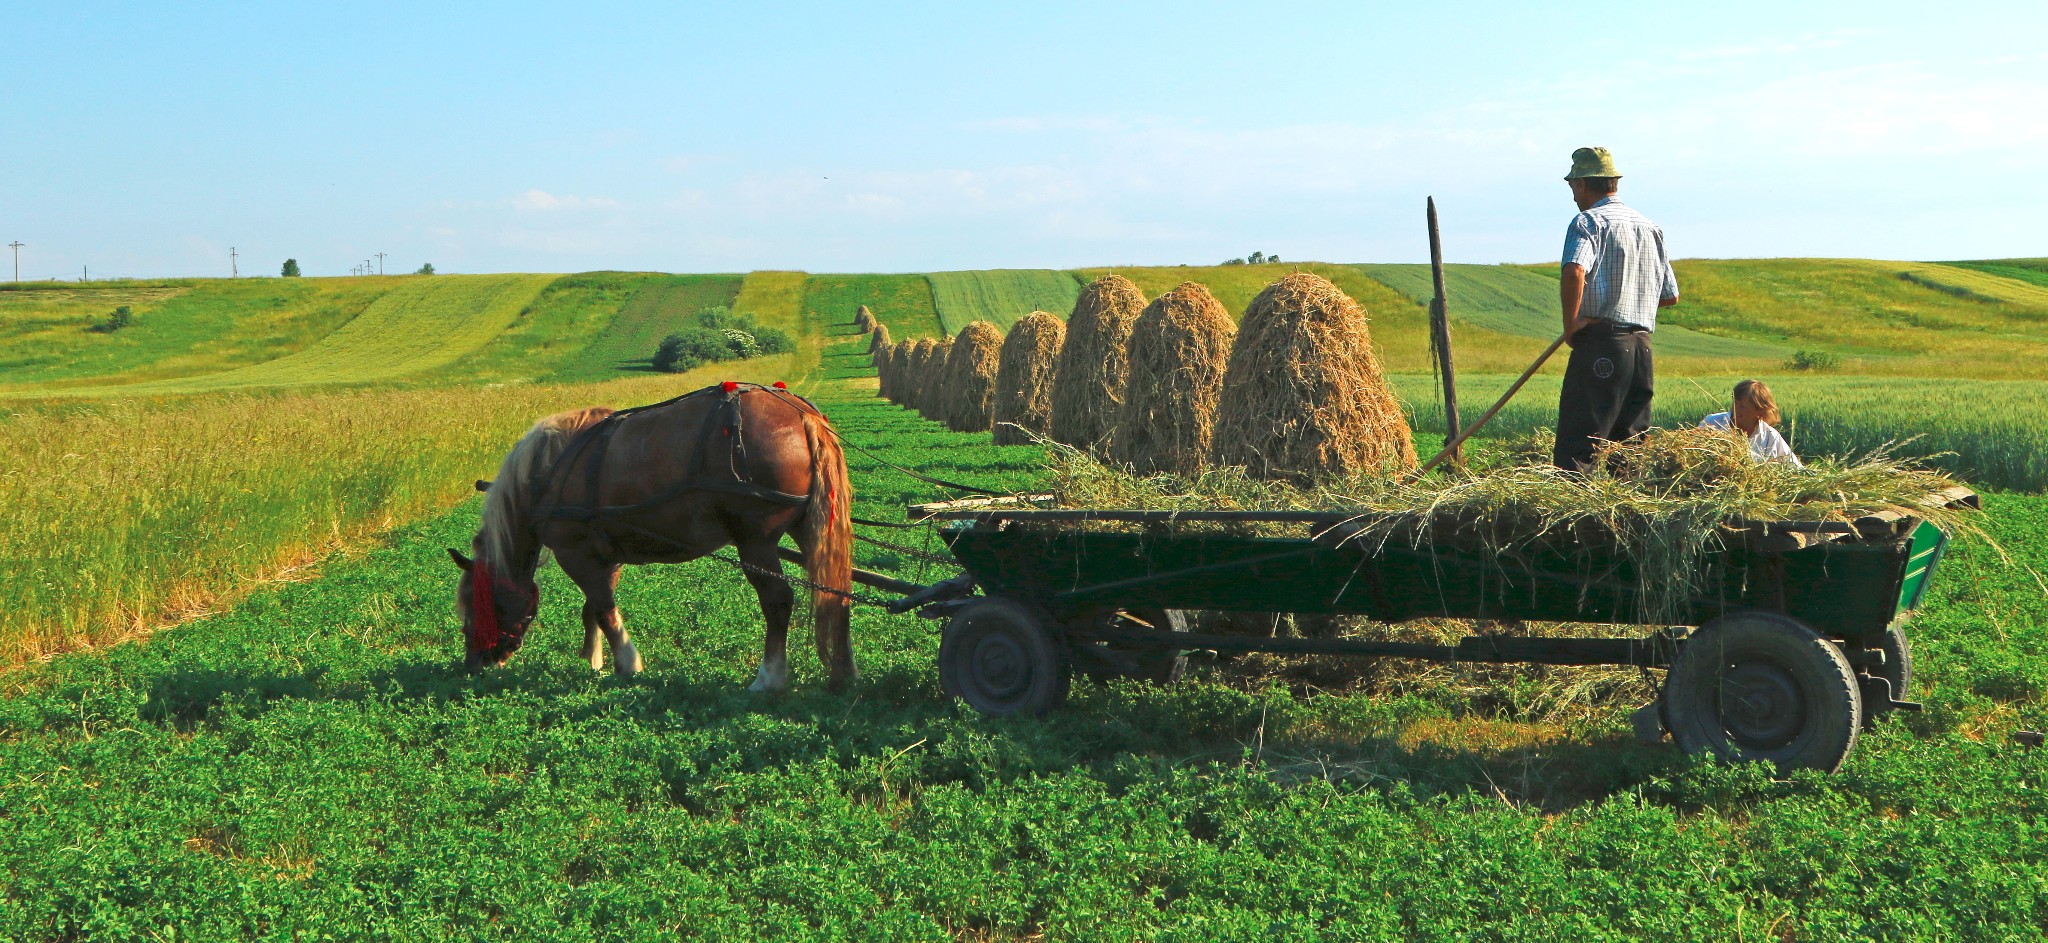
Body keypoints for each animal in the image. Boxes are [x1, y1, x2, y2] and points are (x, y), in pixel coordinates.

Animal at [448, 383, 856, 692]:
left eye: (475, 603)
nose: (475, 664)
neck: (544, 473)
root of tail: (801, 414)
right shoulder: (605, 555)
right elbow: (594, 609)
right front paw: (593, 659)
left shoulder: (573, 552)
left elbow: (603, 608)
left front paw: (627, 664)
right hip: (809, 529)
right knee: (836, 592)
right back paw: (843, 673)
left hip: (756, 541)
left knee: (778, 601)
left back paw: (769, 678)